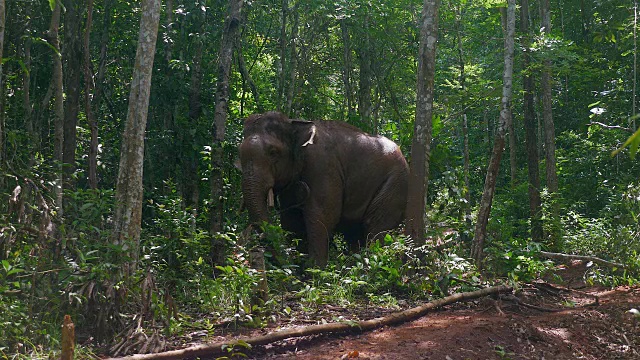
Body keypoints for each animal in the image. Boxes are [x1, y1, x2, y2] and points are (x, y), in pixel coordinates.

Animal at [238, 112, 408, 268]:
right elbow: (291, 220)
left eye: (273, 152)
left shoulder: (323, 166)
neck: (293, 123)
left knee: (375, 226)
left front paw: (315, 270)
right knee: (355, 233)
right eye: (239, 154)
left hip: (395, 183)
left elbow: (322, 215)